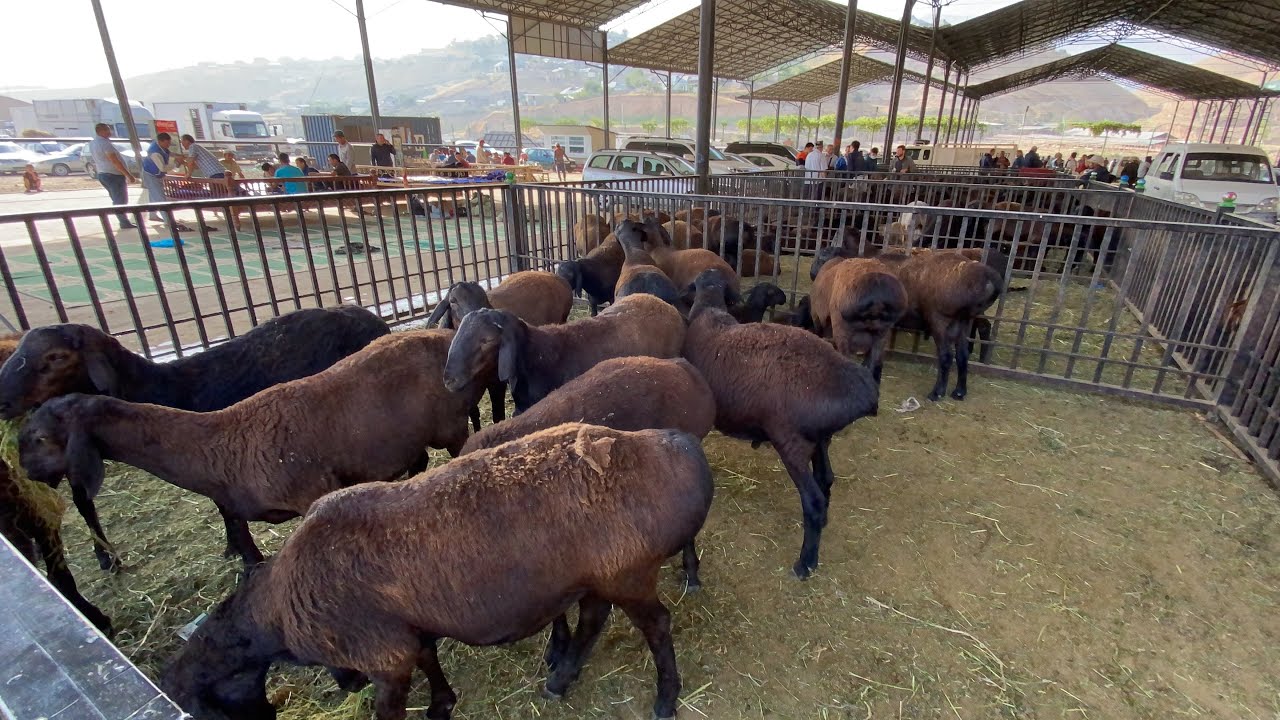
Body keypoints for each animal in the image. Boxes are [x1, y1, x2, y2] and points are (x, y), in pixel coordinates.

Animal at [18, 330, 490, 568]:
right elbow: (243, 544)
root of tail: (445, 332)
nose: (26, 474)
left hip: (450, 426)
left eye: (40, 437)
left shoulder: (312, 492)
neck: (218, 445)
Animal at [161, 423, 715, 720]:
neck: (279, 609)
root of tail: (674, 449)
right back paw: (561, 679)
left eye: (204, 705)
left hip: (628, 572)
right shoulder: (406, 633)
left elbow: (389, 707)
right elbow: (430, 658)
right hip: (599, 574)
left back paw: (666, 697)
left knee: (657, 625)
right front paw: (442, 703)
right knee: (594, 619)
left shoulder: (382, 655)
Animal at [426, 273, 574, 429]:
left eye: (484, 299)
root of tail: (554, 276)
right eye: (453, 301)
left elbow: (498, 415)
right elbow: (474, 413)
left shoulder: (497, 383)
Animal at [683, 269, 879, 578]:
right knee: (826, 479)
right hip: (820, 439)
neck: (708, 309)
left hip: (792, 441)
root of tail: (863, 388)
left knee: (813, 500)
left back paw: (805, 563)